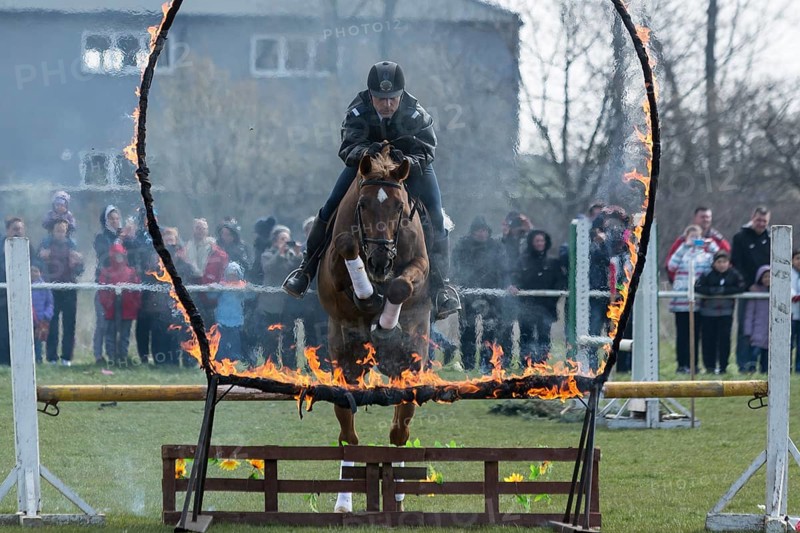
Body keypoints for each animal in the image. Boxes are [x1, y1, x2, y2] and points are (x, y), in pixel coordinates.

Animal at [317, 145, 431, 512]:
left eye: (398, 207)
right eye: (364, 204)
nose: (381, 260)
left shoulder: (419, 264)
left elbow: (401, 286)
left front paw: (385, 323)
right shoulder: (335, 262)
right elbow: (346, 245)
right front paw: (367, 296)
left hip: (408, 367)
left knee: (399, 432)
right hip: (347, 362)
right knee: (349, 434)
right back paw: (344, 502)